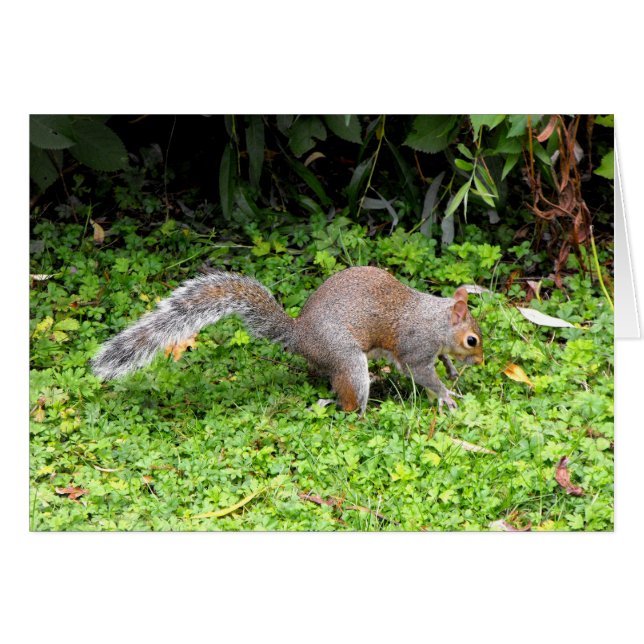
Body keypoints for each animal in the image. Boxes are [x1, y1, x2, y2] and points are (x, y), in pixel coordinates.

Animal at [91, 266, 483, 414]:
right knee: (348, 401)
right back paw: (360, 411)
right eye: (472, 340)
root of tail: (300, 335)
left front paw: (451, 370)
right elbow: (421, 373)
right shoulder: (416, 347)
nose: (481, 362)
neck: (436, 320)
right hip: (347, 358)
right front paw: (447, 396)